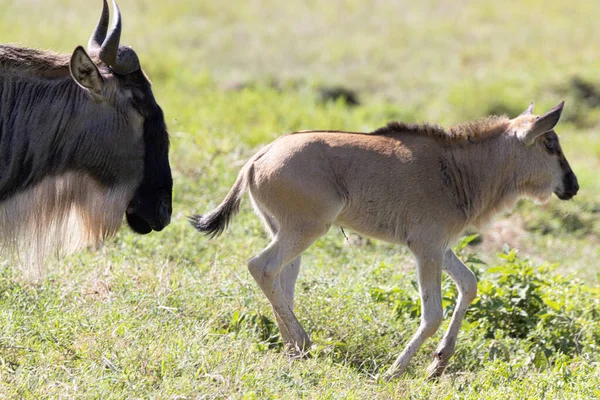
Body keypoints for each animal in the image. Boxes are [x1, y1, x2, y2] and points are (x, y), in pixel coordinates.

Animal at [191, 101, 576, 380]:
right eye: (550, 143)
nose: (572, 185)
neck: (460, 170)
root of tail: (260, 156)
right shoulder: (427, 249)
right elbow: (432, 314)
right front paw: (393, 372)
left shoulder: (439, 247)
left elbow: (469, 284)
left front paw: (438, 364)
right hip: (306, 229)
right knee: (262, 266)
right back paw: (302, 341)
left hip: (287, 233)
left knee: (282, 282)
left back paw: (293, 349)